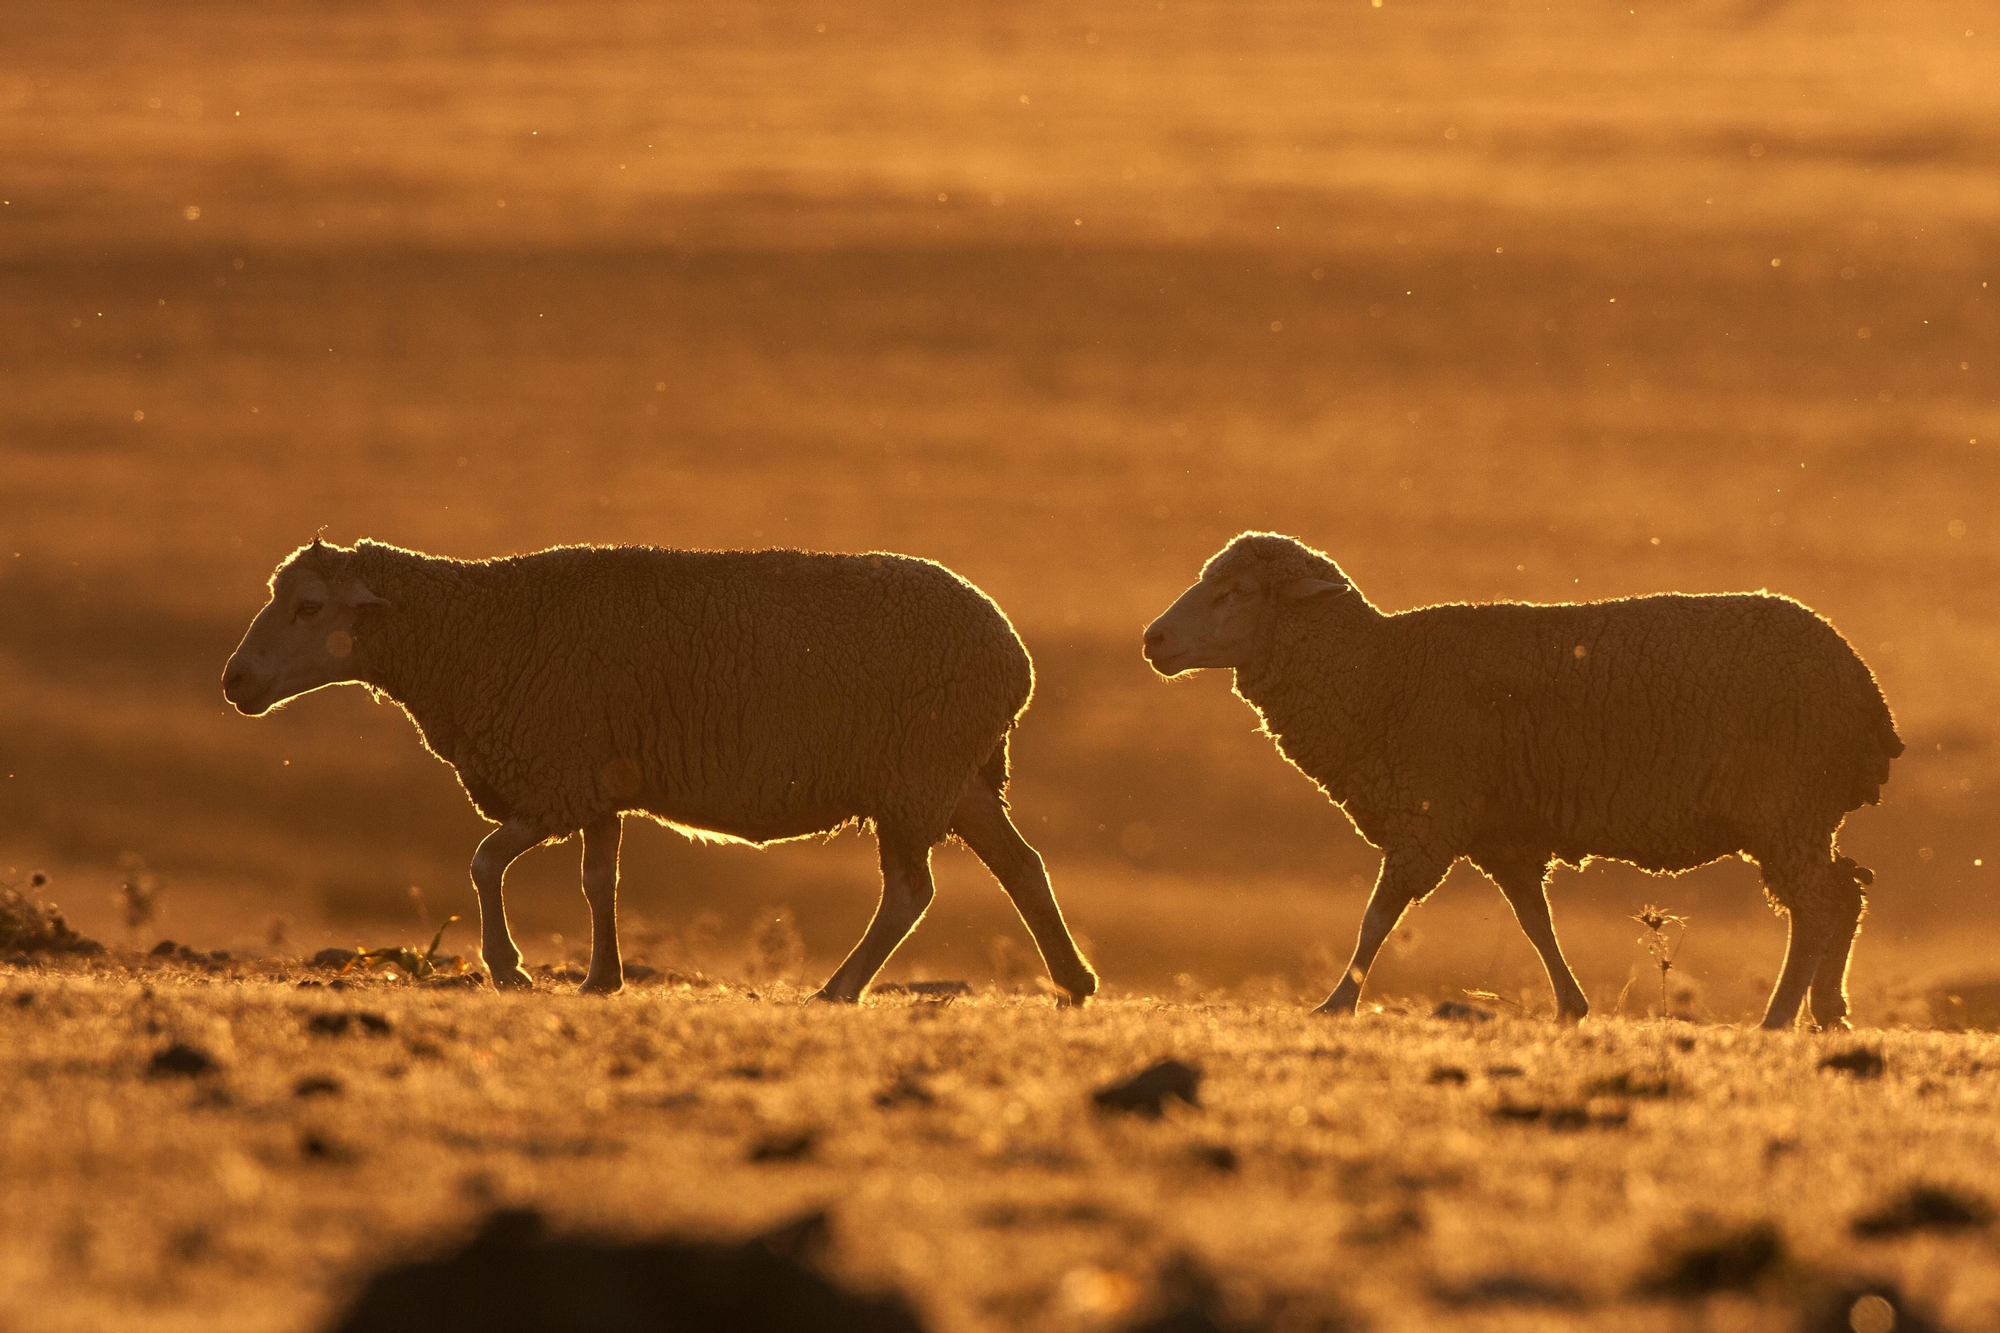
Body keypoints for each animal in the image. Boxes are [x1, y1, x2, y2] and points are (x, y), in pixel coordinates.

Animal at [227, 536, 1104, 1000]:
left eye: (309, 606)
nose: (235, 682)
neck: (471, 632)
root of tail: (1015, 656)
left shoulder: (555, 779)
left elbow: (481, 861)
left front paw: (510, 968)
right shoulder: (595, 784)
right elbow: (599, 882)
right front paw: (601, 977)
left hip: (915, 775)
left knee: (912, 892)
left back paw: (839, 986)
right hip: (954, 779)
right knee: (1021, 866)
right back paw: (1074, 979)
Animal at [1152, 528, 1896, 1024]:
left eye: (1238, 591)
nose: (1152, 639)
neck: (1380, 673)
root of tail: (1865, 690)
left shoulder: (1429, 815)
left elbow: (1377, 917)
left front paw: (1336, 1003)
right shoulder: (1503, 833)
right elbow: (1534, 919)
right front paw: (1571, 1006)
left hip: (1786, 806)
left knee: (1821, 902)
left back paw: (1780, 1018)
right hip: (1798, 814)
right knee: (1845, 892)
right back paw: (1828, 1011)